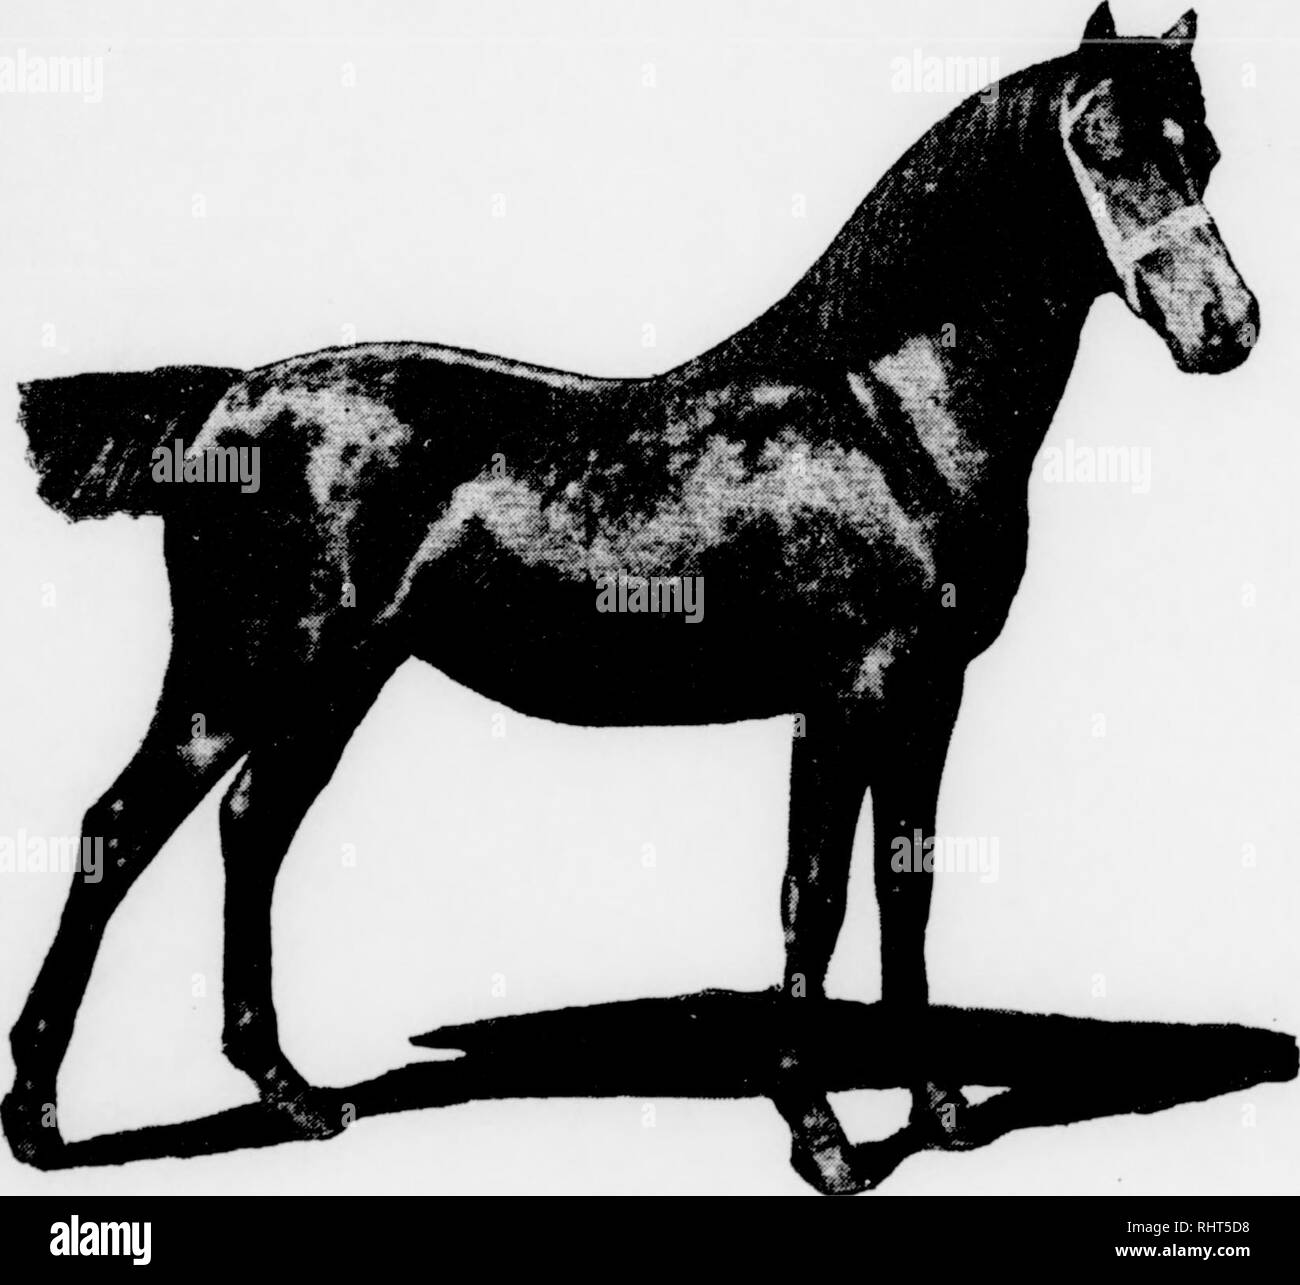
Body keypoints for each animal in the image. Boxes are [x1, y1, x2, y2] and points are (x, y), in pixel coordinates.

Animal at [5, 3, 1258, 1193]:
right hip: (239, 674)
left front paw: (942, 1108)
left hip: (335, 683)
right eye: (1095, 145)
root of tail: (221, 403)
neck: (882, 414)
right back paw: (40, 1119)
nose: (1227, 327)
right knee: (116, 832)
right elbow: (814, 897)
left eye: (1201, 151)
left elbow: (907, 887)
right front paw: (822, 1138)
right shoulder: (845, 697)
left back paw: (293, 1094)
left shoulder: (930, 696)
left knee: (251, 828)